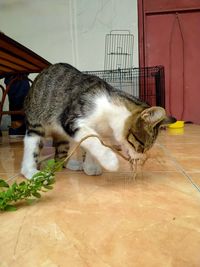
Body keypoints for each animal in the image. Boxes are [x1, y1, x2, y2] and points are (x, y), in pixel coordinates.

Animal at [21, 63, 176, 179]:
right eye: (141, 146)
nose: (138, 159)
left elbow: (91, 142)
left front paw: (90, 167)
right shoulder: (71, 119)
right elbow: (92, 140)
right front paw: (110, 161)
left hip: (63, 137)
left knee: (61, 153)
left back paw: (72, 164)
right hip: (37, 124)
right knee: (32, 145)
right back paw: (31, 172)